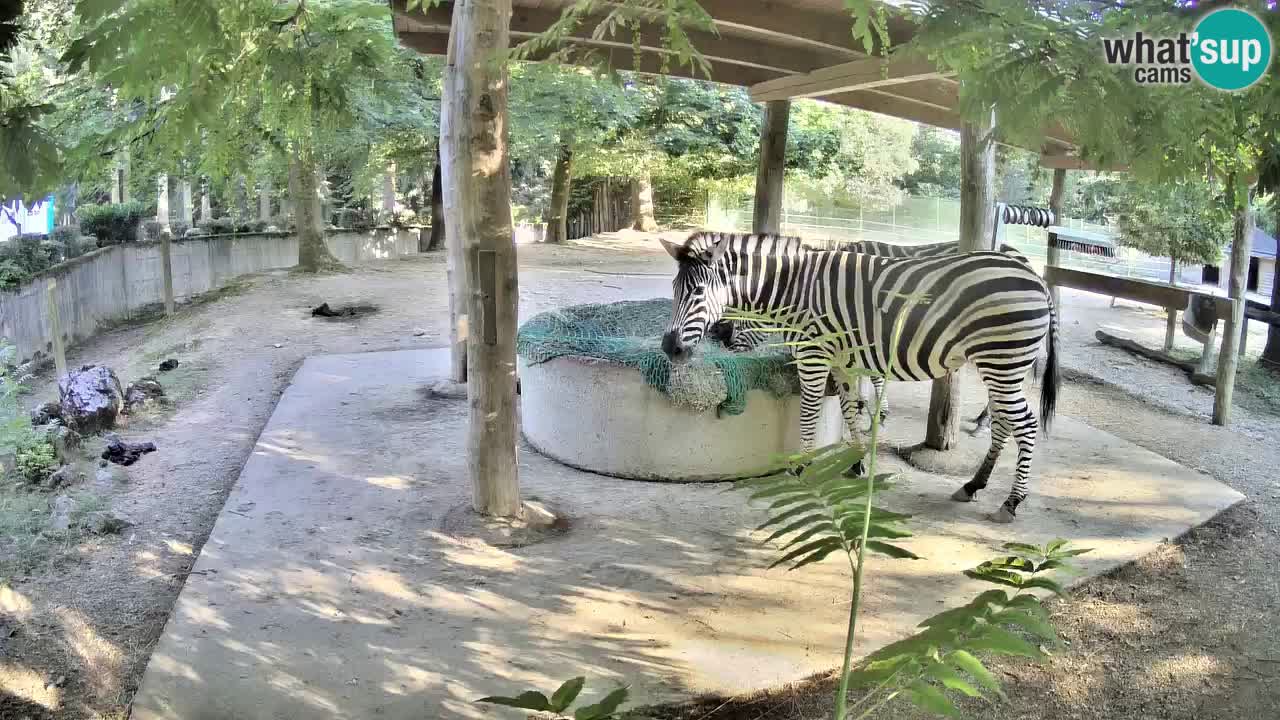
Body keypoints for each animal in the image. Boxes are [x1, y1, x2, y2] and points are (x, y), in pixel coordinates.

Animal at [707, 238, 1035, 431]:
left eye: (741, 314)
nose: (723, 342)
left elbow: (872, 375)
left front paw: (876, 412)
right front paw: (867, 407)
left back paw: (985, 422)